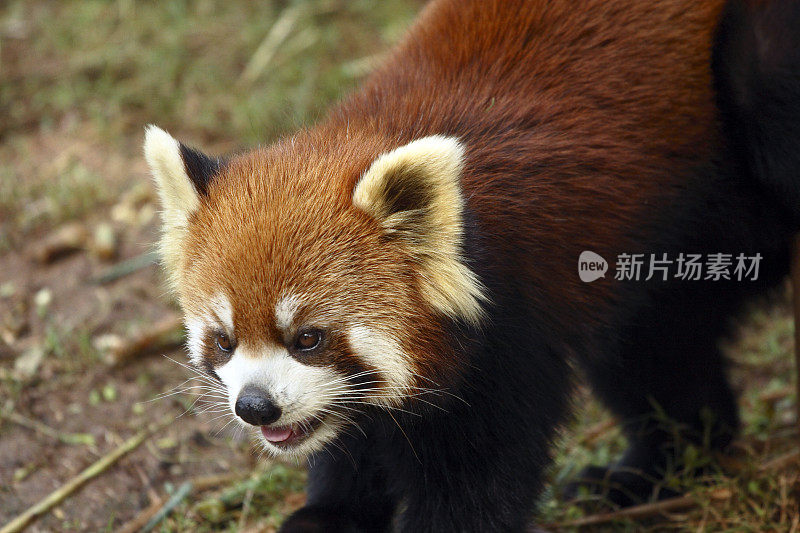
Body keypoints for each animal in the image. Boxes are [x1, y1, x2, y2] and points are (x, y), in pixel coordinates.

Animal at [144, 0, 800, 524]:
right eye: (224, 340)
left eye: (307, 337)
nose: (255, 406)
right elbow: (348, 448)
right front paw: (325, 514)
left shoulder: (512, 331)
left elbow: (478, 487)